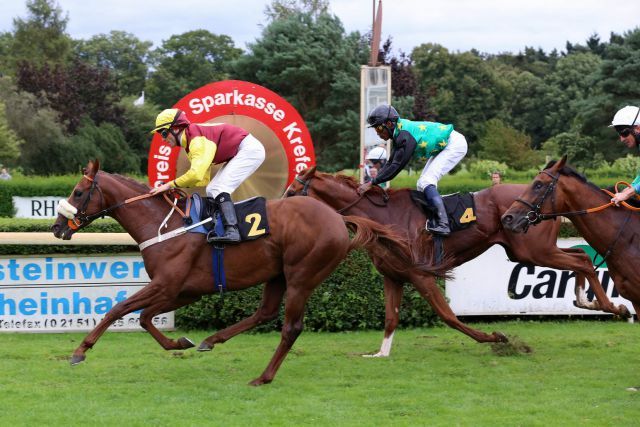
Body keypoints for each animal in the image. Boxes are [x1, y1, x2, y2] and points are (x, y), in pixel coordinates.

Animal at [51, 160, 444, 384]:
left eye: (79, 191)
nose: (57, 228)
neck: (163, 225)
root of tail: (338, 217)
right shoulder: (184, 290)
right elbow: (144, 317)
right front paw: (183, 342)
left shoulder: (167, 285)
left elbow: (122, 310)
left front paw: (80, 351)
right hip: (278, 275)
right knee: (265, 312)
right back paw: (212, 340)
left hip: (302, 275)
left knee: (290, 326)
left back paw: (263, 377)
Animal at [286, 167, 632, 358]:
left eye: (292, 191)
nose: (278, 208)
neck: (381, 217)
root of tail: (544, 206)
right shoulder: (392, 276)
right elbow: (390, 318)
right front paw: (379, 353)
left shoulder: (420, 274)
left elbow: (449, 316)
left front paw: (496, 338)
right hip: (528, 251)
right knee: (580, 257)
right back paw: (588, 299)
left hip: (534, 250)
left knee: (582, 261)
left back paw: (611, 306)